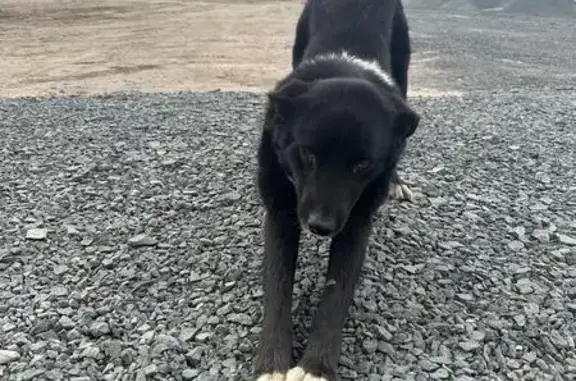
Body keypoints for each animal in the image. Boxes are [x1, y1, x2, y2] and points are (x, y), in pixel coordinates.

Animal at [254, 1, 420, 378]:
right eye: (307, 154)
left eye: (362, 165)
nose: (320, 227)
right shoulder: (281, 210)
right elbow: (277, 285)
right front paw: (272, 365)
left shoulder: (356, 220)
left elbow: (337, 291)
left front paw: (315, 367)